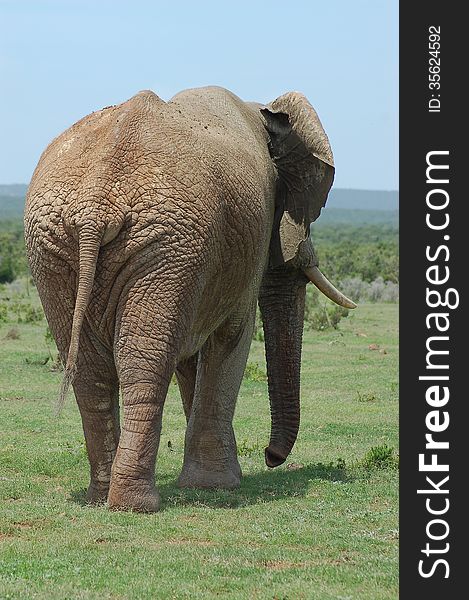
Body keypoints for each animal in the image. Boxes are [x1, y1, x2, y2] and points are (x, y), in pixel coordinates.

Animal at [24, 86, 354, 512]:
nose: (272, 457)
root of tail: (97, 201)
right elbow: (231, 336)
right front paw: (217, 485)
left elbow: (190, 353)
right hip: (163, 243)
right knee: (143, 357)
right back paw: (136, 504)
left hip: (60, 246)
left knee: (89, 365)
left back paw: (103, 498)